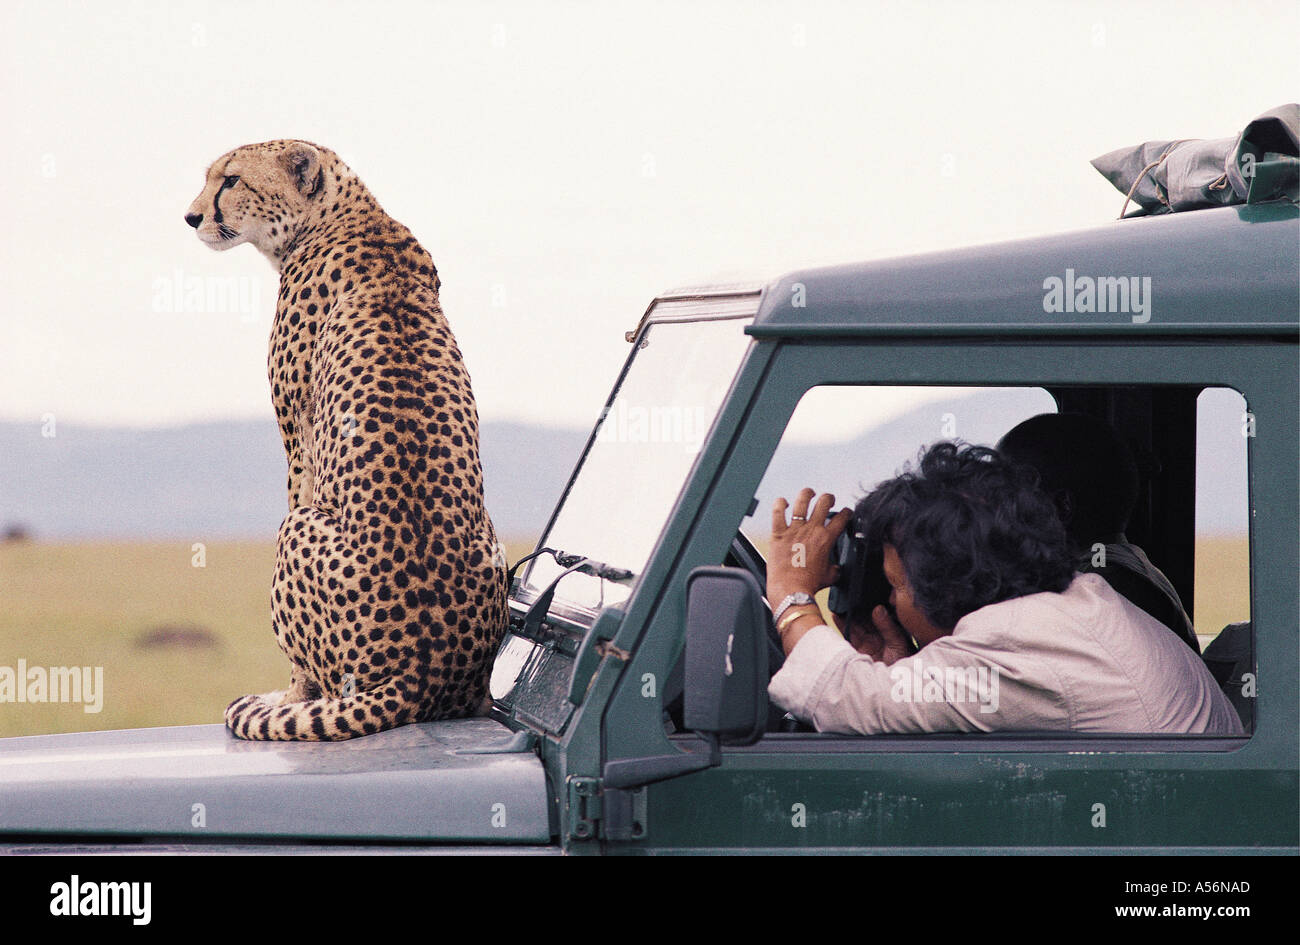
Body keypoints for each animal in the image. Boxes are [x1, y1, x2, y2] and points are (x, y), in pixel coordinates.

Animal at [184, 140, 506, 743]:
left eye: (231, 180)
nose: (191, 217)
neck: (346, 216)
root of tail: (423, 672)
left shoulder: (298, 438)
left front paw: (289, 696)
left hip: (297, 529)